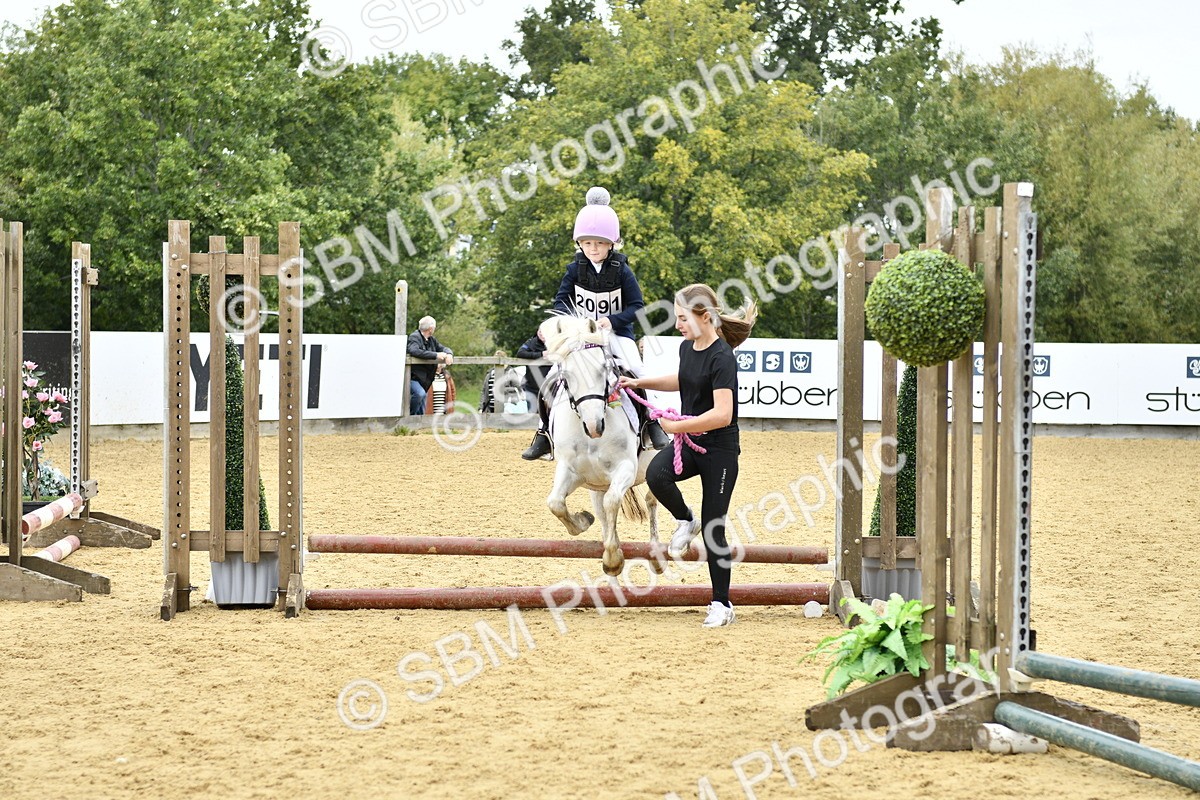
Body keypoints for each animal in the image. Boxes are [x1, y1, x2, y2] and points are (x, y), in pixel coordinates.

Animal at [539, 315, 661, 576]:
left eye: (602, 370)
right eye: (567, 376)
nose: (595, 425)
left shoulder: (625, 468)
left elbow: (613, 501)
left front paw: (613, 560)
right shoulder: (573, 471)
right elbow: (556, 503)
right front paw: (584, 521)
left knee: (651, 500)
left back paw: (658, 553)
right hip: (597, 485)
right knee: (603, 510)